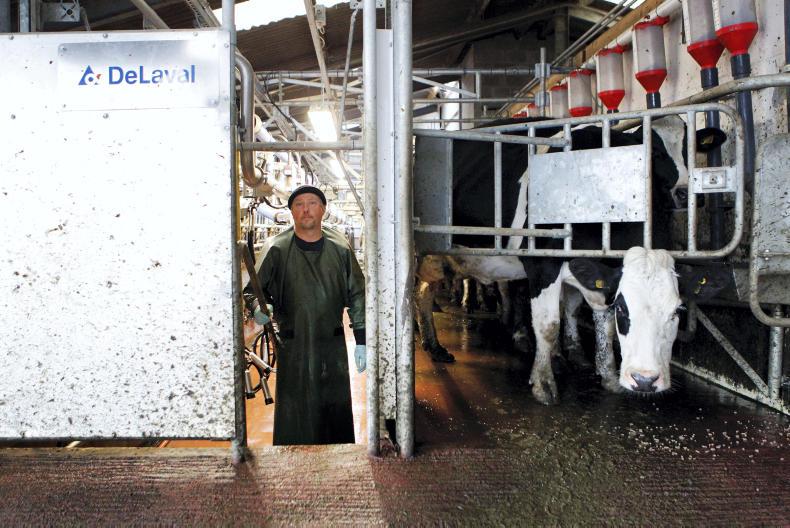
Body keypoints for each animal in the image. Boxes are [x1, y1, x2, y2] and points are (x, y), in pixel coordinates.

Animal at [414, 115, 729, 404]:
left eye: (677, 311)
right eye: (655, 151)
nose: (645, 379)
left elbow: (598, 322)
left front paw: (606, 374)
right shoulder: (543, 265)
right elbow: (548, 324)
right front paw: (543, 382)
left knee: (423, 292)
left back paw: (434, 346)